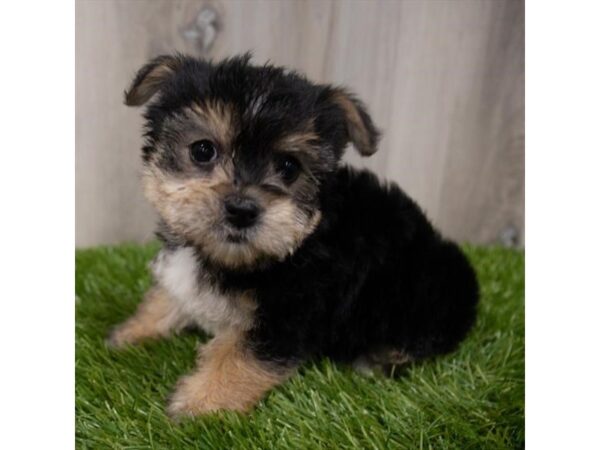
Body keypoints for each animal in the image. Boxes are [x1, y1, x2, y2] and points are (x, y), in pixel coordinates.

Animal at [108, 53, 478, 418]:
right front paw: (132, 331)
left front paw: (201, 403)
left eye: (289, 167)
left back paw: (380, 358)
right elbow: (170, 294)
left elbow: (244, 355)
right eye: (202, 150)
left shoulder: (293, 309)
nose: (242, 210)